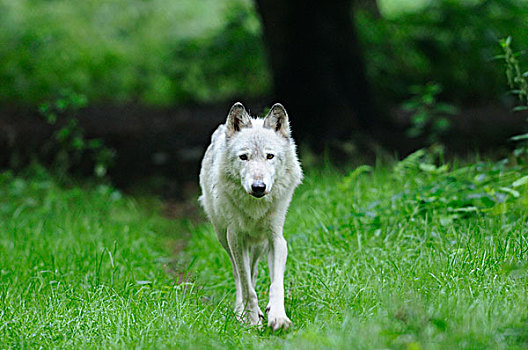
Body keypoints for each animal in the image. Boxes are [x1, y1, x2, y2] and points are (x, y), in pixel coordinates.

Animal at [200, 102, 304, 330]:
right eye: (244, 157)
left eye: (270, 156)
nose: (258, 187)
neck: (255, 208)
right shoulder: (235, 238)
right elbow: (247, 285)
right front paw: (251, 319)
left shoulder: (277, 239)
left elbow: (276, 284)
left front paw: (278, 317)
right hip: (224, 238)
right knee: (240, 275)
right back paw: (241, 312)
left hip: (259, 245)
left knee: (254, 270)